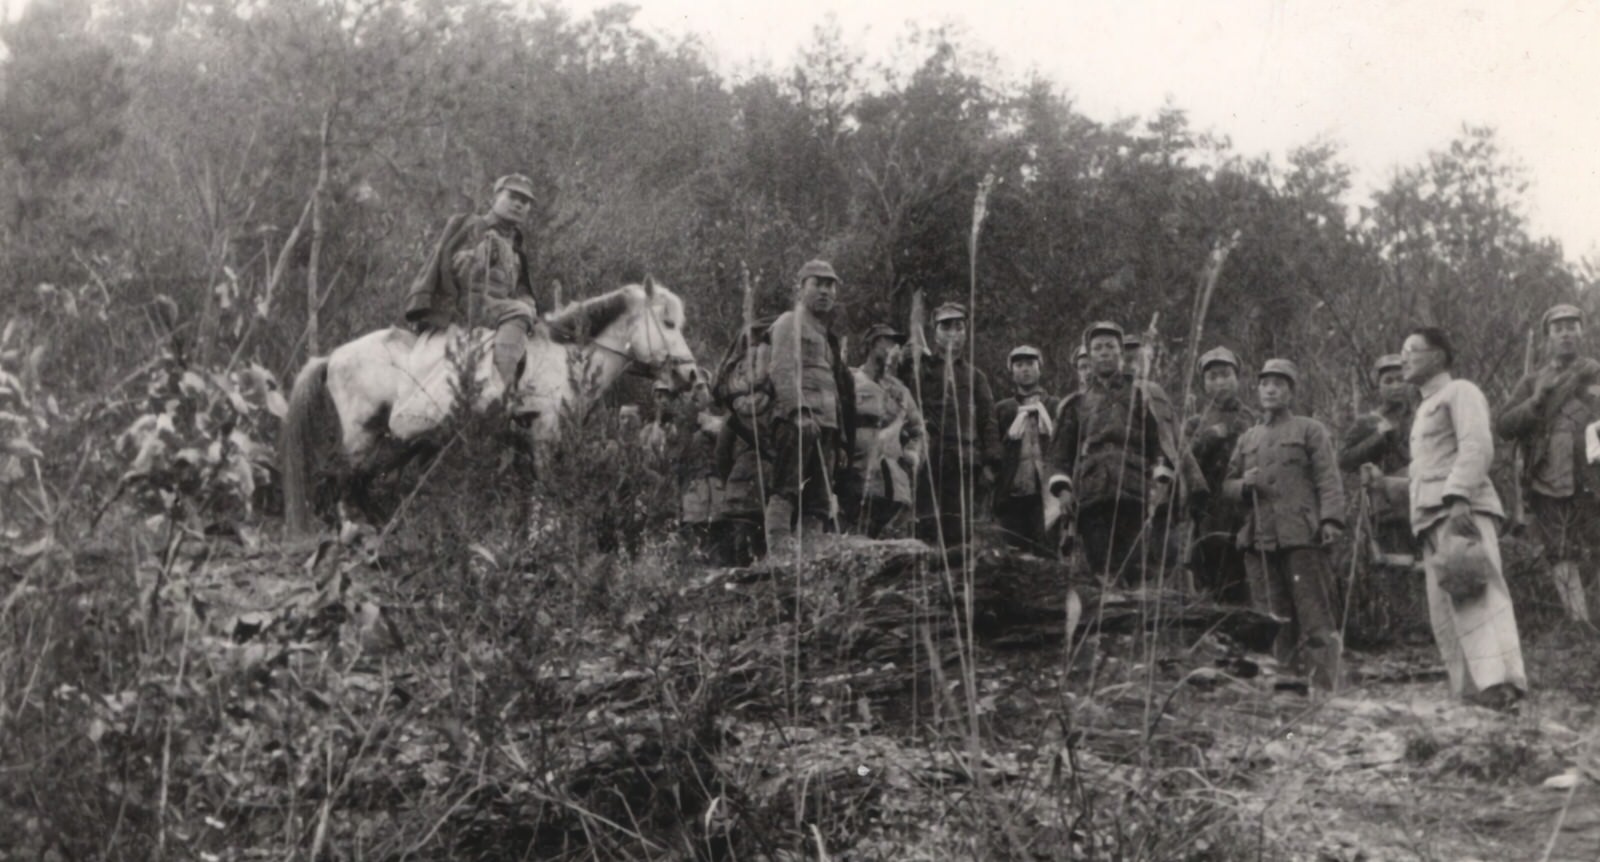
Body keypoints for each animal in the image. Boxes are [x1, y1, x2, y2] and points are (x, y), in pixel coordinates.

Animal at [280, 279, 700, 537]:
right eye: (668, 322)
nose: (692, 375)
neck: (568, 358)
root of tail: (333, 355)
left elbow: (528, 492)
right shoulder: (544, 435)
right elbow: (544, 488)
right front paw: (544, 535)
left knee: (358, 481)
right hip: (362, 435)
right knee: (341, 480)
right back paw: (353, 531)